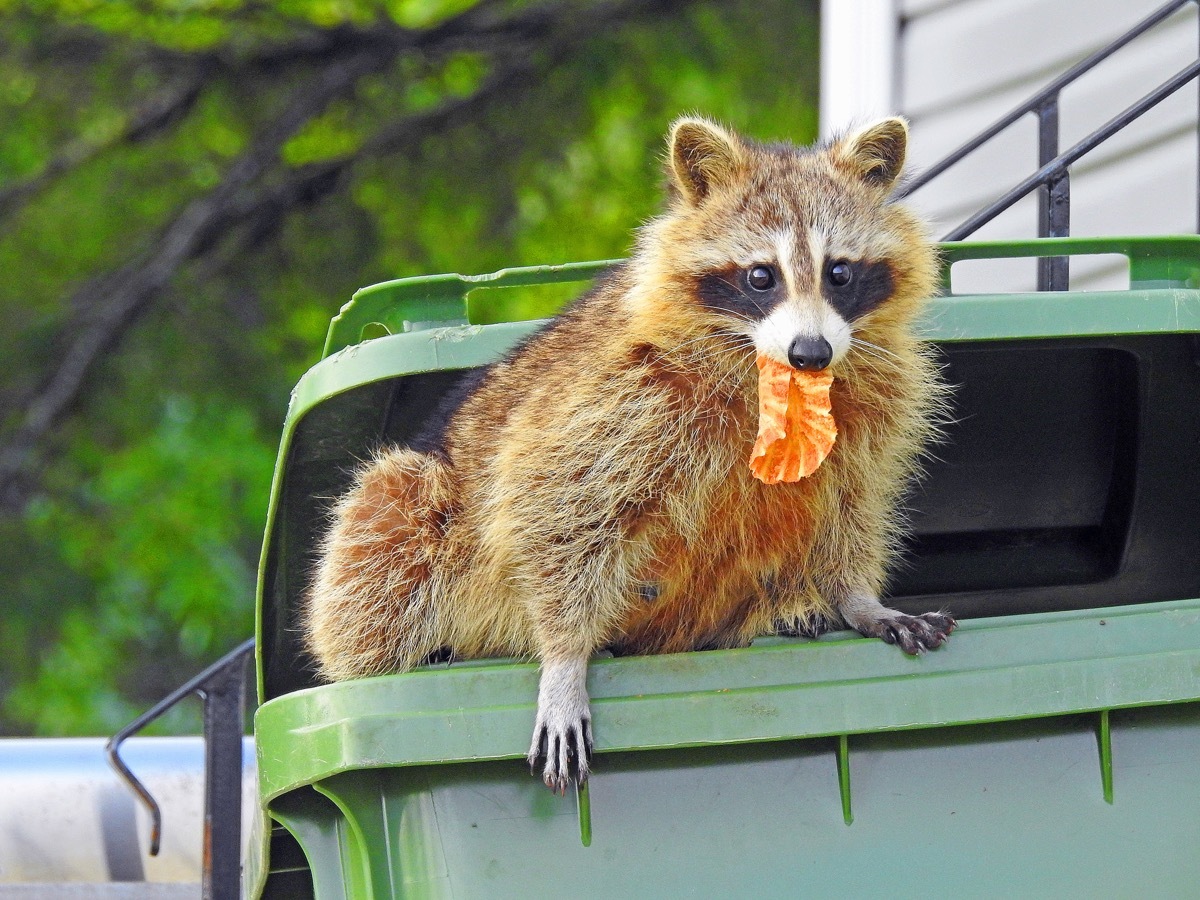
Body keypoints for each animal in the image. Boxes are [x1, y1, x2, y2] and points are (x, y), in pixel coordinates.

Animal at [307, 116, 955, 792]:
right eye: (761, 276)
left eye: (839, 272)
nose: (812, 352)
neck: (773, 375)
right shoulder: (617, 391)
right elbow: (549, 500)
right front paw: (563, 657)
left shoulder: (871, 407)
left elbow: (850, 502)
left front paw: (856, 597)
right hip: (418, 508)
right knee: (388, 523)